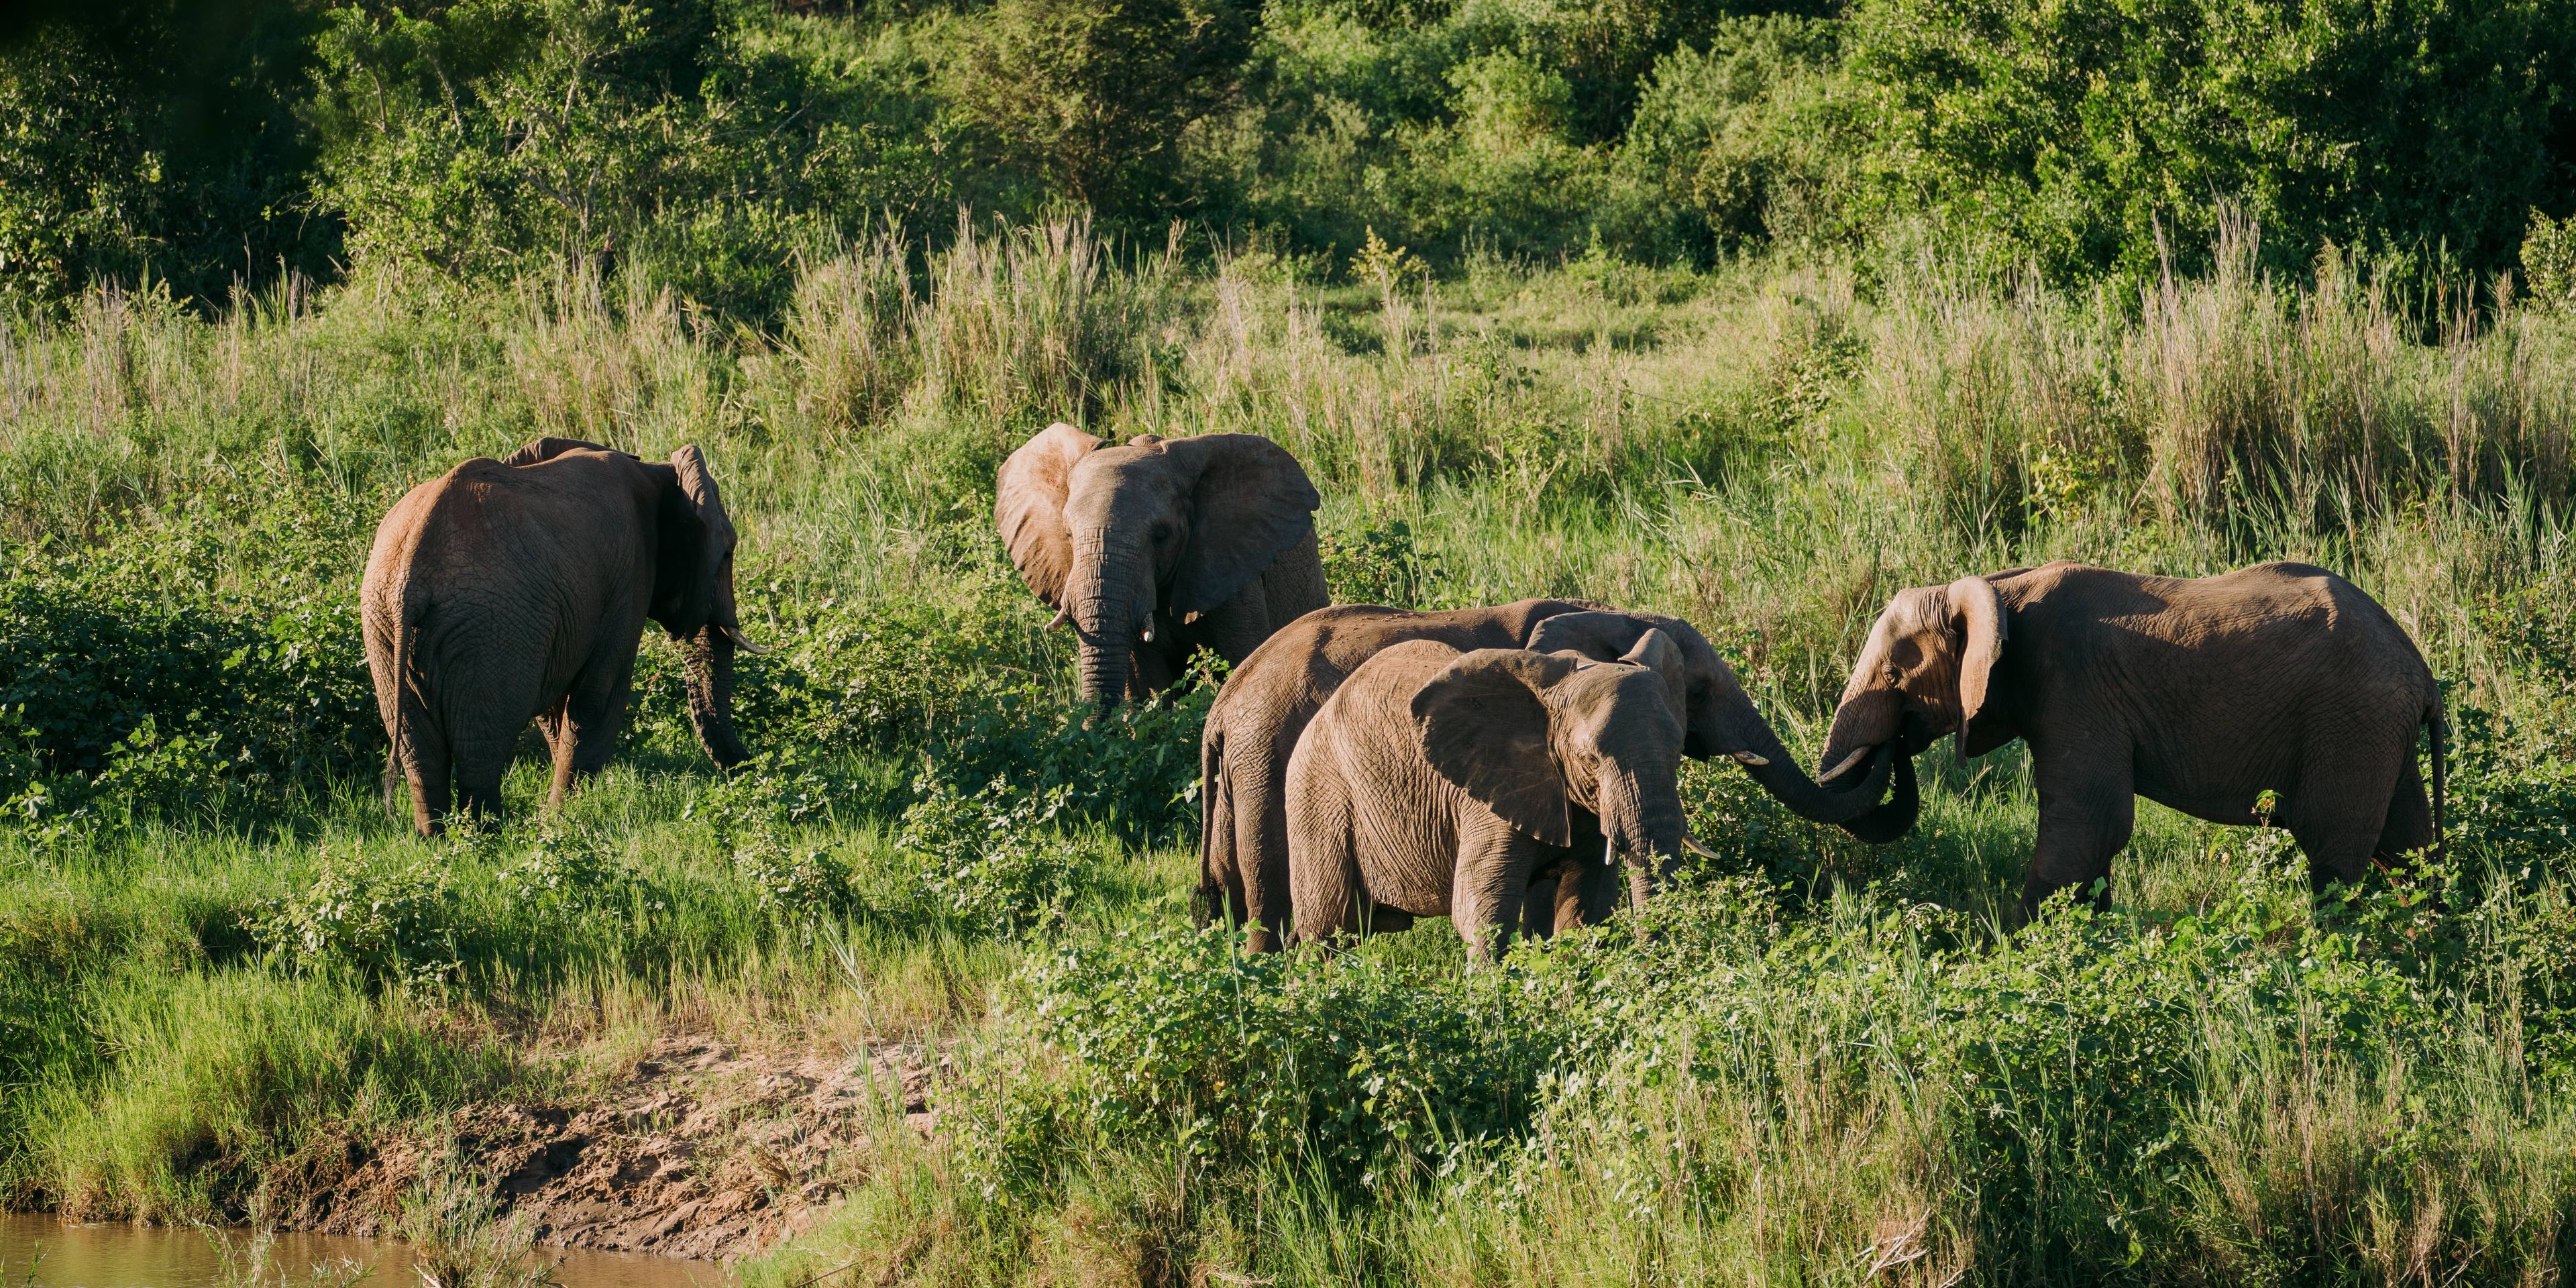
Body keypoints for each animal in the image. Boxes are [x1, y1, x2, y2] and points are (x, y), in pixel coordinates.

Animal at [361, 436, 758, 835]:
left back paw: (438, 840)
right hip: (489, 629)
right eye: (728, 551)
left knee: (418, 750)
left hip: (384, 626)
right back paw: (489, 836)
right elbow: (599, 698)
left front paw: (555, 814)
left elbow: (556, 709)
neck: (656, 472)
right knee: (479, 747)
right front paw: (560, 817)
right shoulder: (629, 578)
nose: (748, 769)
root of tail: (412, 574)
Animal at [1814, 560, 2446, 920]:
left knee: (2333, 858)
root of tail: (2422, 672)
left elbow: (2091, 827)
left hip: (2352, 724)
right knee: (2407, 849)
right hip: (2378, 732)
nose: (1896, 744)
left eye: (1895, 674)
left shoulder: (2075, 688)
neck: (1995, 589)